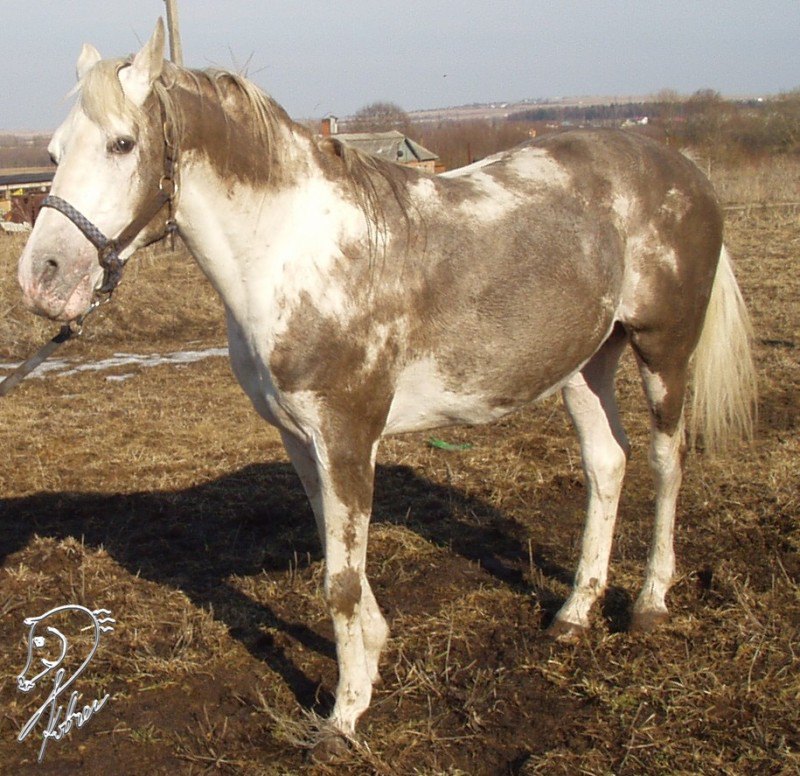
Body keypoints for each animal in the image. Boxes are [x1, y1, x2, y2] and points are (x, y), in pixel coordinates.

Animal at [18, 19, 756, 756]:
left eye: (122, 143)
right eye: (54, 150)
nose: (43, 276)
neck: (294, 252)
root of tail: (686, 170)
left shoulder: (347, 435)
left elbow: (340, 582)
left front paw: (343, 718)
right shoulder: (301, 440)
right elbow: (336, 557)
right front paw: (371, 656)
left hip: (664, 350)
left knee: (666, 460)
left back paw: (651, 603)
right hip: (587, 362)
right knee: (607, 463)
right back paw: (575, 613)